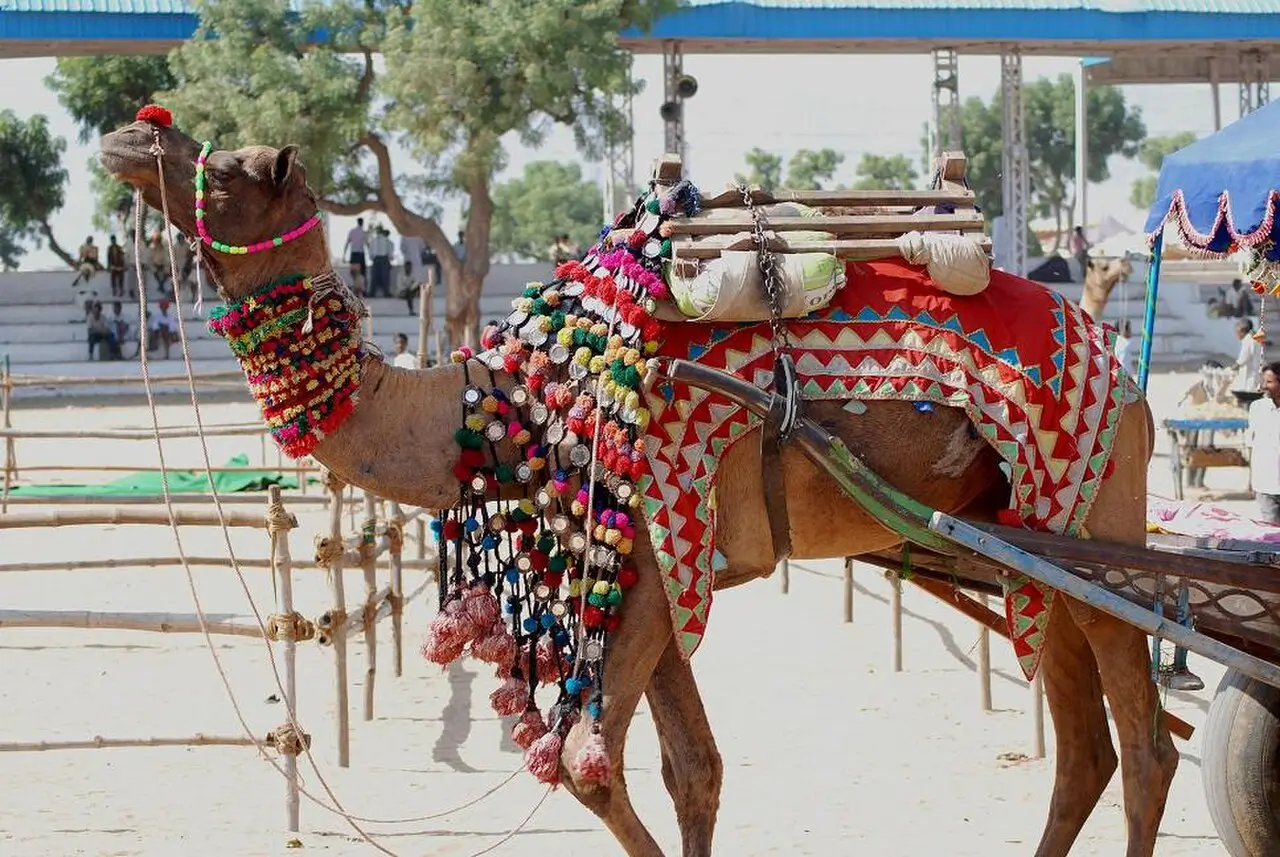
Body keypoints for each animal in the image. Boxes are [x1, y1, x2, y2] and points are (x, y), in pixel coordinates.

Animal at [101, 116, 1177, 857]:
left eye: (231, 169)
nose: (132, 130)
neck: (502, 402)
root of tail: (1127, 378)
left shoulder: (661, 556)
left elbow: (590, 763)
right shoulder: (650, 570)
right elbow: (691, 767)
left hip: (1095, 507)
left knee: (1147, 745)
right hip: (1026, 545)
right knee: (1086, 747)